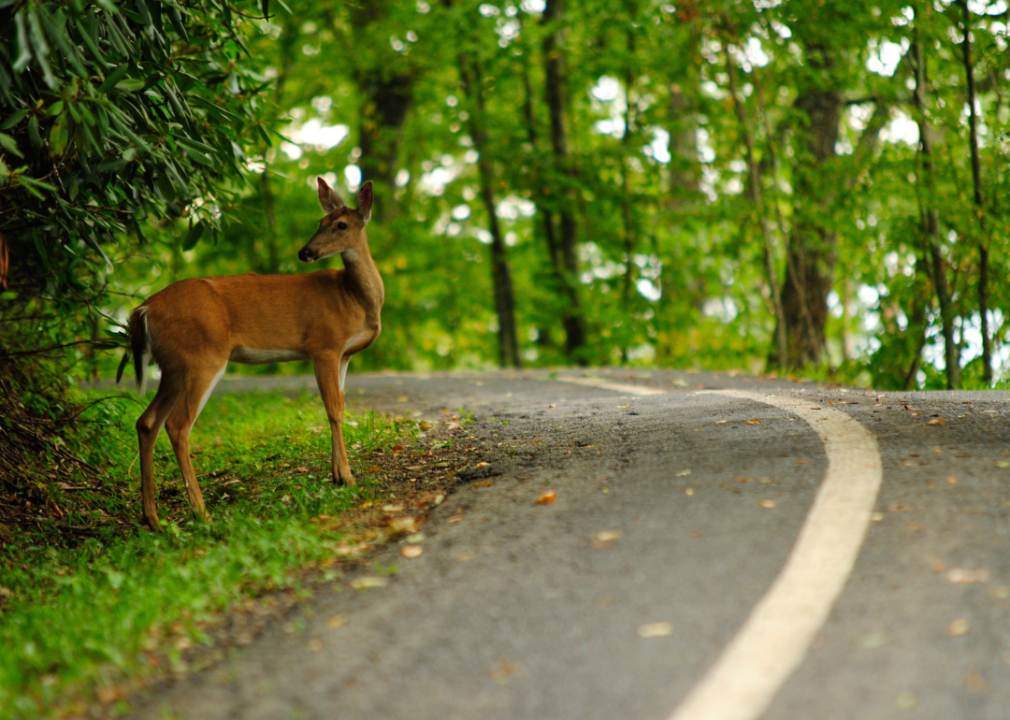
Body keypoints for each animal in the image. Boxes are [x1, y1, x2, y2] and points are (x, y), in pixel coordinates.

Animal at [118, 177, 383, 529]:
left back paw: (153, 518)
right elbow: (334, 409)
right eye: (320, 222)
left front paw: (337, 475)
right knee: (178, 425)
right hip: (203, 357)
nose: (305, 252)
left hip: (172, 366)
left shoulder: (344, 355)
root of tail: (143, 310)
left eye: (339, 224)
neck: (354, 297)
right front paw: (347, 477)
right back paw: (201, 512)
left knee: (147, 422)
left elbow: (338, 406)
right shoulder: (324, 345)